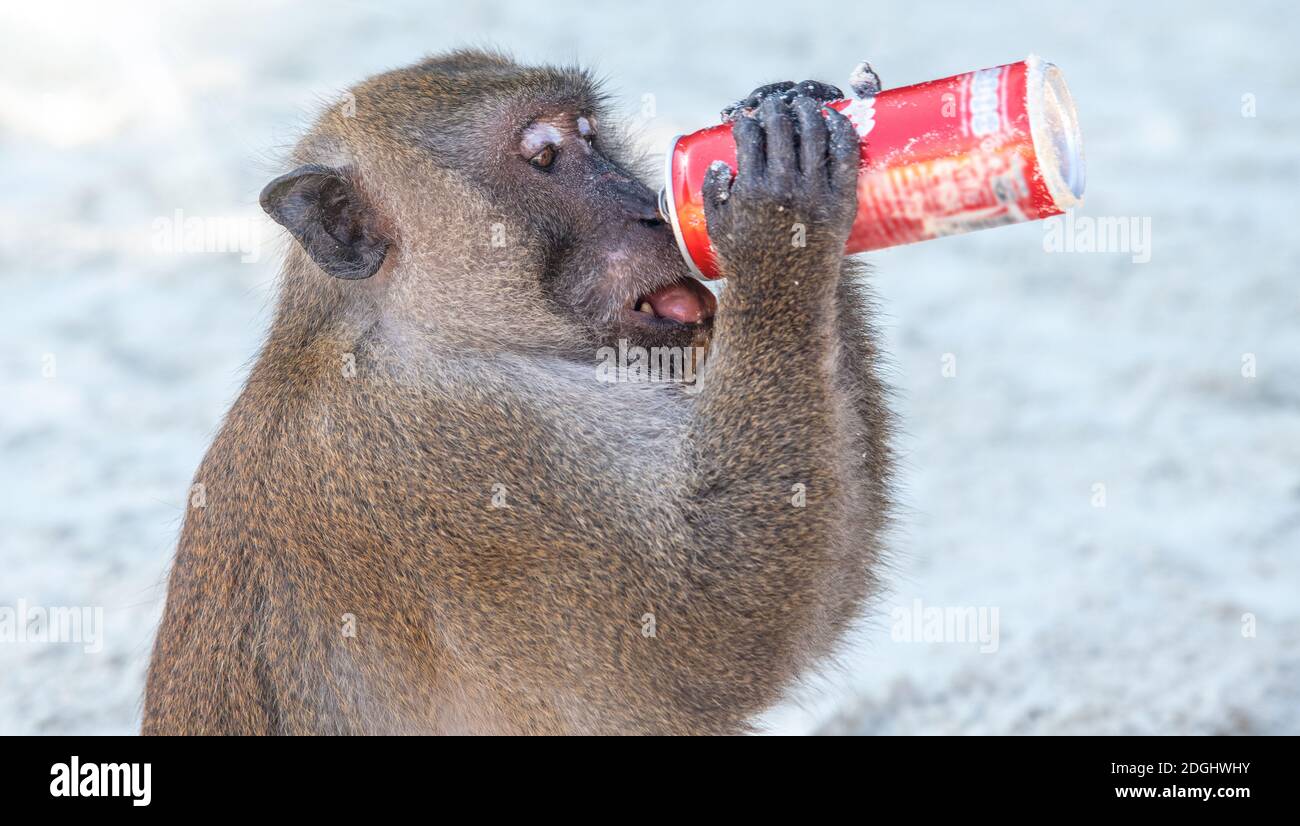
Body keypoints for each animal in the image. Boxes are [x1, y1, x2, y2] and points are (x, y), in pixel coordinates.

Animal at [144, 50, 894, 738]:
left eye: (590, 135)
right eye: (543, 158)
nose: (650, 211)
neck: (432, 333)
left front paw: (788, 107)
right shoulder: (464, 465)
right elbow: (715, 637)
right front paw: (782, 208)